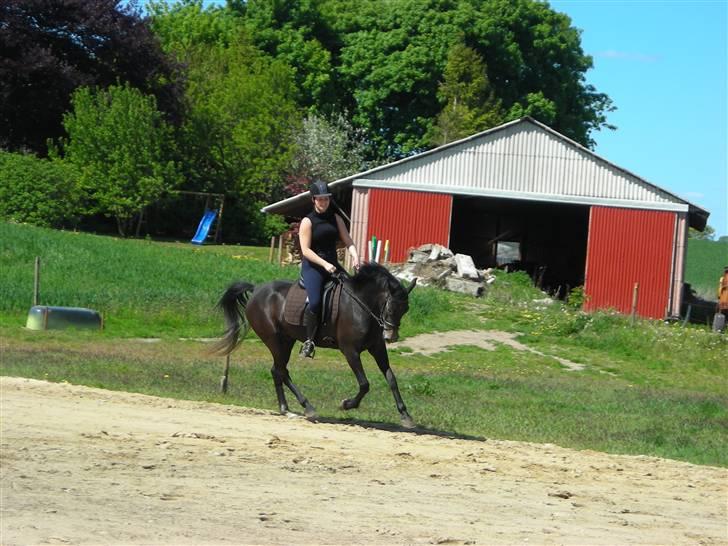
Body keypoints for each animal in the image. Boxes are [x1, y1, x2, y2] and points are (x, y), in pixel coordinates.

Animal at [213, 262, 418, 428]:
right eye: (390, 306)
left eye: (406, 309)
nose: (392, 337)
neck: (362, 305)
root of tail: (256, 289)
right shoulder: (350, 351)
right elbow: (364, 384)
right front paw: (346, 404)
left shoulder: (377, 348)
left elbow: (391, 379)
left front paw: (405, 415)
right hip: (275, 340)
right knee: (280, 370)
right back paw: (307, 407)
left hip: (286, 340)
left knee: (277, 370)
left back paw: (286, 408)